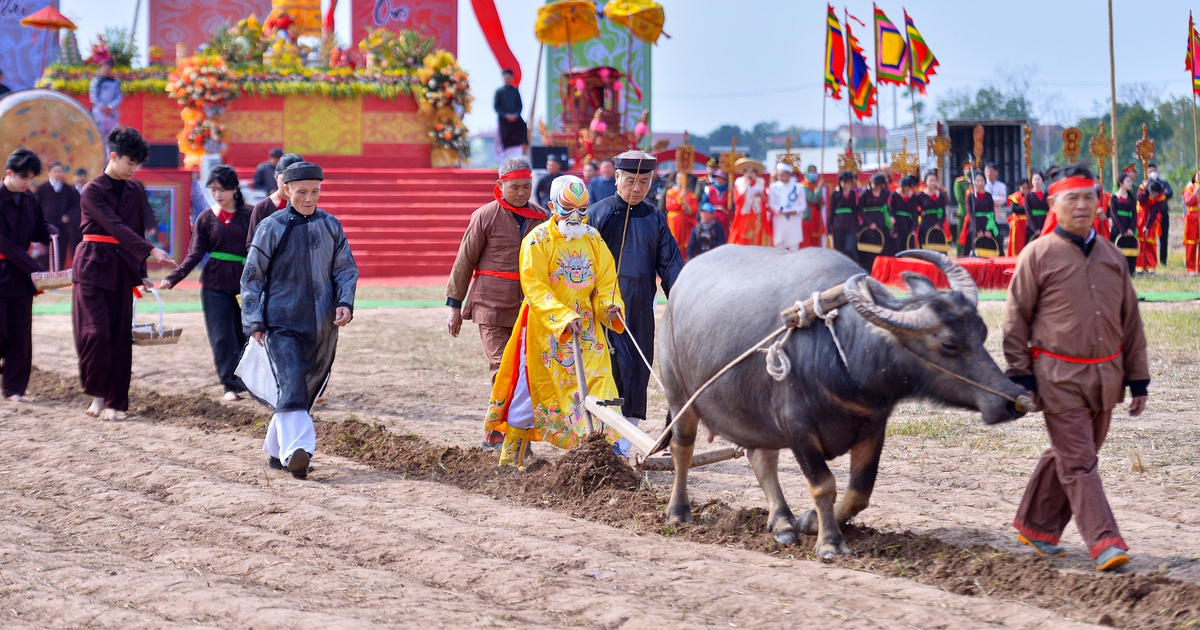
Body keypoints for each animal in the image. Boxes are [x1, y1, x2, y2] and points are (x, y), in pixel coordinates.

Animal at [652, 246, 1027, 554]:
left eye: (982, 331)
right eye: (949, 344)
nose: (1013, 400)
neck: (843, 353)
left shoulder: (873, 427)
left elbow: (860, 491)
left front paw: (809, 522)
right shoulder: (798, 428)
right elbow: (823, 484)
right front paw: (830, 543)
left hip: (754, 413)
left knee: (762, 458)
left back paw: (783, 523)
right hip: (680, 396)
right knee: (683, 450)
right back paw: (679, 512)